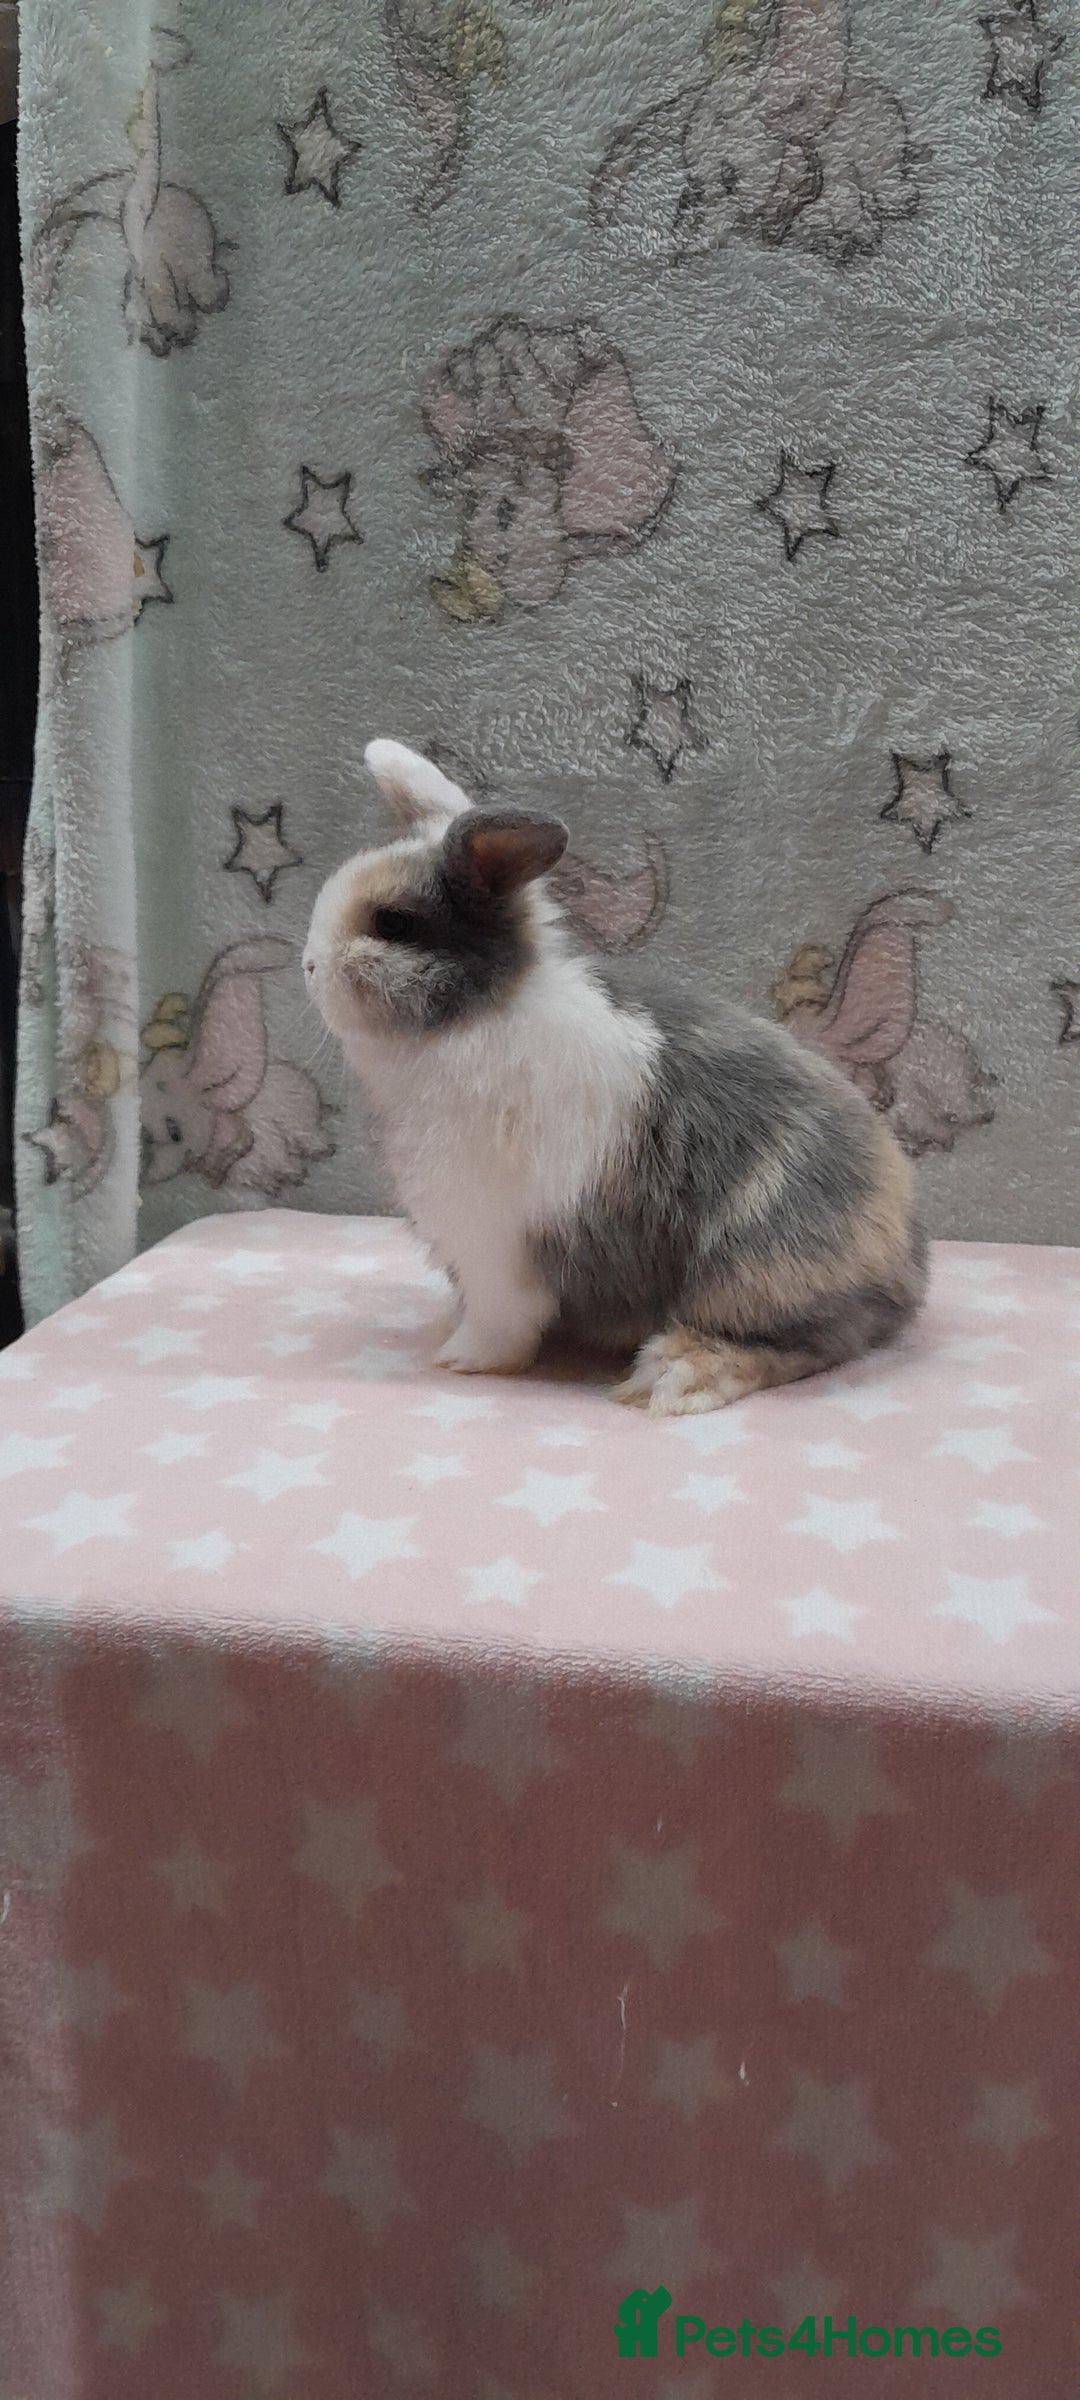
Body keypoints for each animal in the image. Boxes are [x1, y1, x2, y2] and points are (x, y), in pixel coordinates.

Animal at [302, 741, 926, 1414]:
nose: (307, 966)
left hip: (754, 1269)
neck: (473, 1016)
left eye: (393, 923)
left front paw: (461, 1359)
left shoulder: (496, 1244)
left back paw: (678, 1374)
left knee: (813, 1341)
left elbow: (499, 1319)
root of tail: (908, 1264)